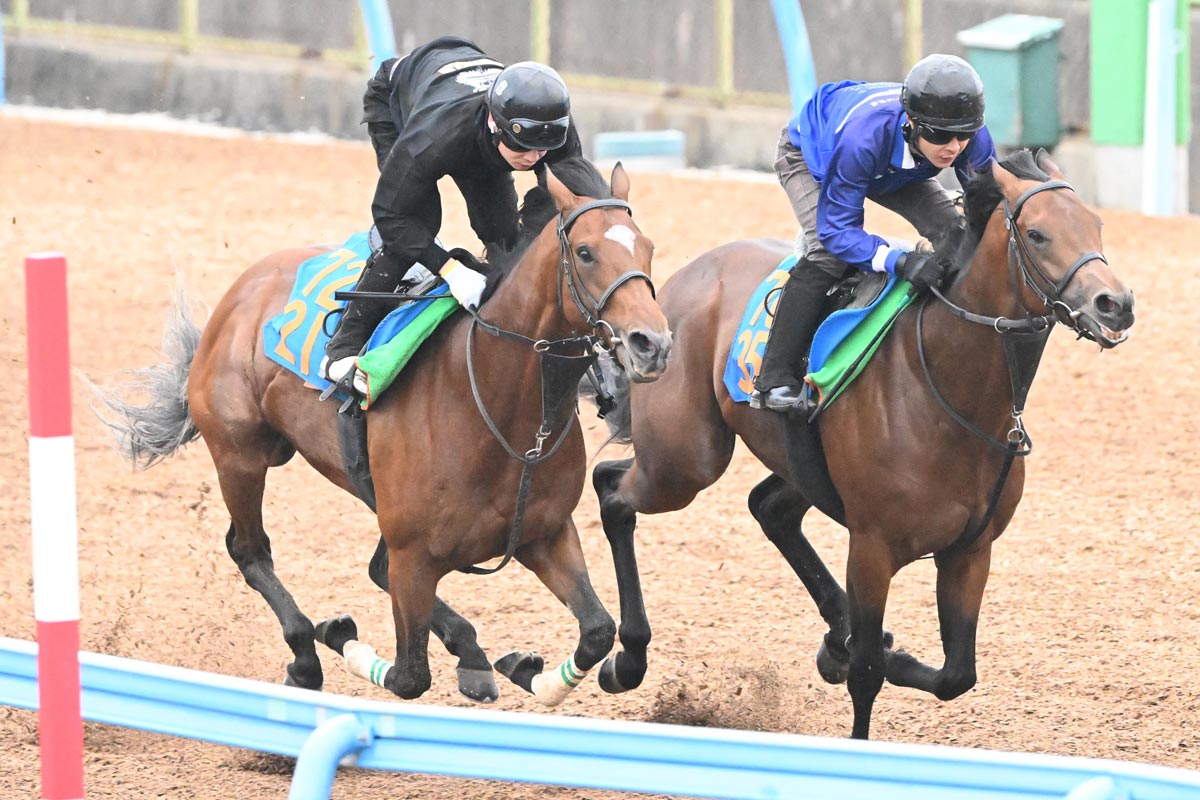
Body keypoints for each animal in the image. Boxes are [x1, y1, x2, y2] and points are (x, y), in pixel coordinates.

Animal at [94, 157, 673, 705]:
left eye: (647, 248)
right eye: (586, 252)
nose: (652, 344)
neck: (499, 406)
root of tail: (241, 291)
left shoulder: (544, 534)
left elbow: (597, 630)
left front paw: (523, 667)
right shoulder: (413, 554)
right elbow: (408, 675)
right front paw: (338, 634)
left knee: (368, 566)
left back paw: (471, 656)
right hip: (241, 454)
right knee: (250, 550)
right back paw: (306, 654)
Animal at [587, 150, 1134, 739]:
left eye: (1096, 225)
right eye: (1036, 234)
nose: (1115, 303)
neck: (949, 392)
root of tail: (668, 287)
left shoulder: (971, 551)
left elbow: (956, 674)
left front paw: (861, 650)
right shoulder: (872, 547)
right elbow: (869, 672)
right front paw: (866, 658)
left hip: (783, 465)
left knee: (768, 508)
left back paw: (832, 638)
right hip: (685, 460)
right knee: (613, 490)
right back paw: (627, 659)